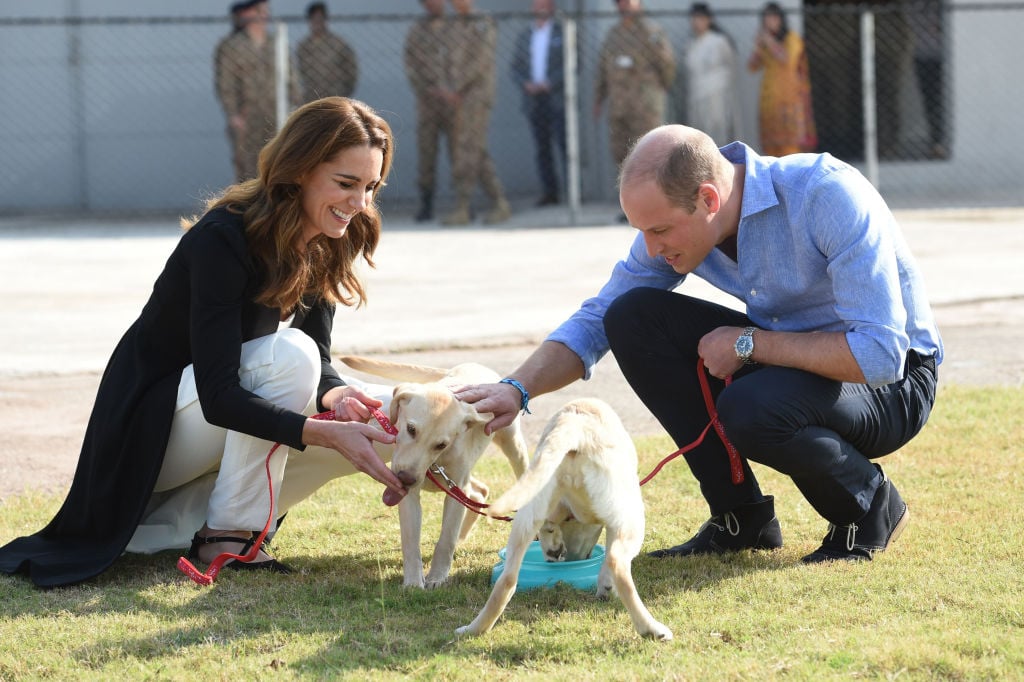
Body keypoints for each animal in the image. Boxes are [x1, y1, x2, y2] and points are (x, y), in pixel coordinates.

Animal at [342, 356, 532, 589]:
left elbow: (446, 540)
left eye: (441, 444)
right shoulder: (410, 494)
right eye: (411, 429)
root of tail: (474, 365)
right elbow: (410, 541)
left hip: (511, 444)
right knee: (479, 491)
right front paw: (413, 582)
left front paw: (436, 578)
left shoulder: (454, 488)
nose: (406, 478)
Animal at [456, 395, 671, 638]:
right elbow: (607, 557)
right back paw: (652, 629)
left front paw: (554, 544)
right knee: (617, 562)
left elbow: (549, 527)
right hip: (631, 515)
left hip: (529, 505)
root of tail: (574, 426)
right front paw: (605, 586)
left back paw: (473, 629)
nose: (569, 557)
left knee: (507, 580)